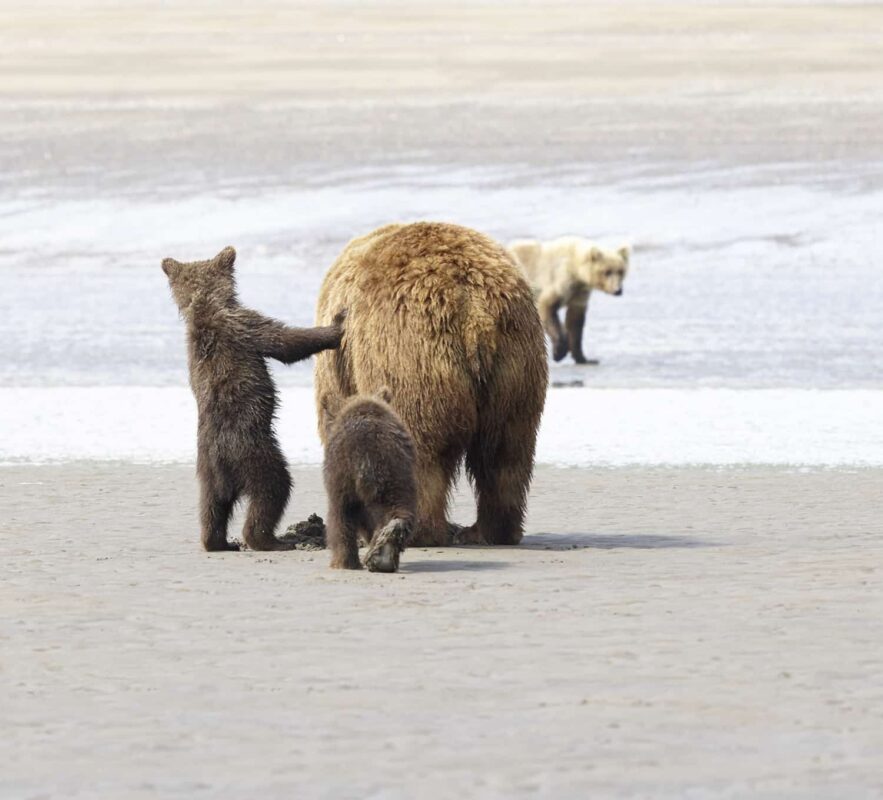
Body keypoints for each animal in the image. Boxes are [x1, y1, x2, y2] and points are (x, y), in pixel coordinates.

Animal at [162, 245, 345, 552]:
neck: (205, 305)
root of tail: (224, 469)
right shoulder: (244, 326)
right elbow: (286, 342)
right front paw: (337, 325)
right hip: (255, 452)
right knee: (273, 490)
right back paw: (268, 540)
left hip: (206, 471)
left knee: (211, 507)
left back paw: (218, 542)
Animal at [314, 221, 548, 548]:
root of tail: (475, 310)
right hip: (515, 369)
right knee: (506, 452)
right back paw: (489, 531)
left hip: (410, 356)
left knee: (423, 451)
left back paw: (419, 531)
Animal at [320, 388, 417, 572]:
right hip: (397, 471)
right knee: (398, 505)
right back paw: (384, 552)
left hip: (345, 472)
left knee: (341, 513)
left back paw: (345, 561)